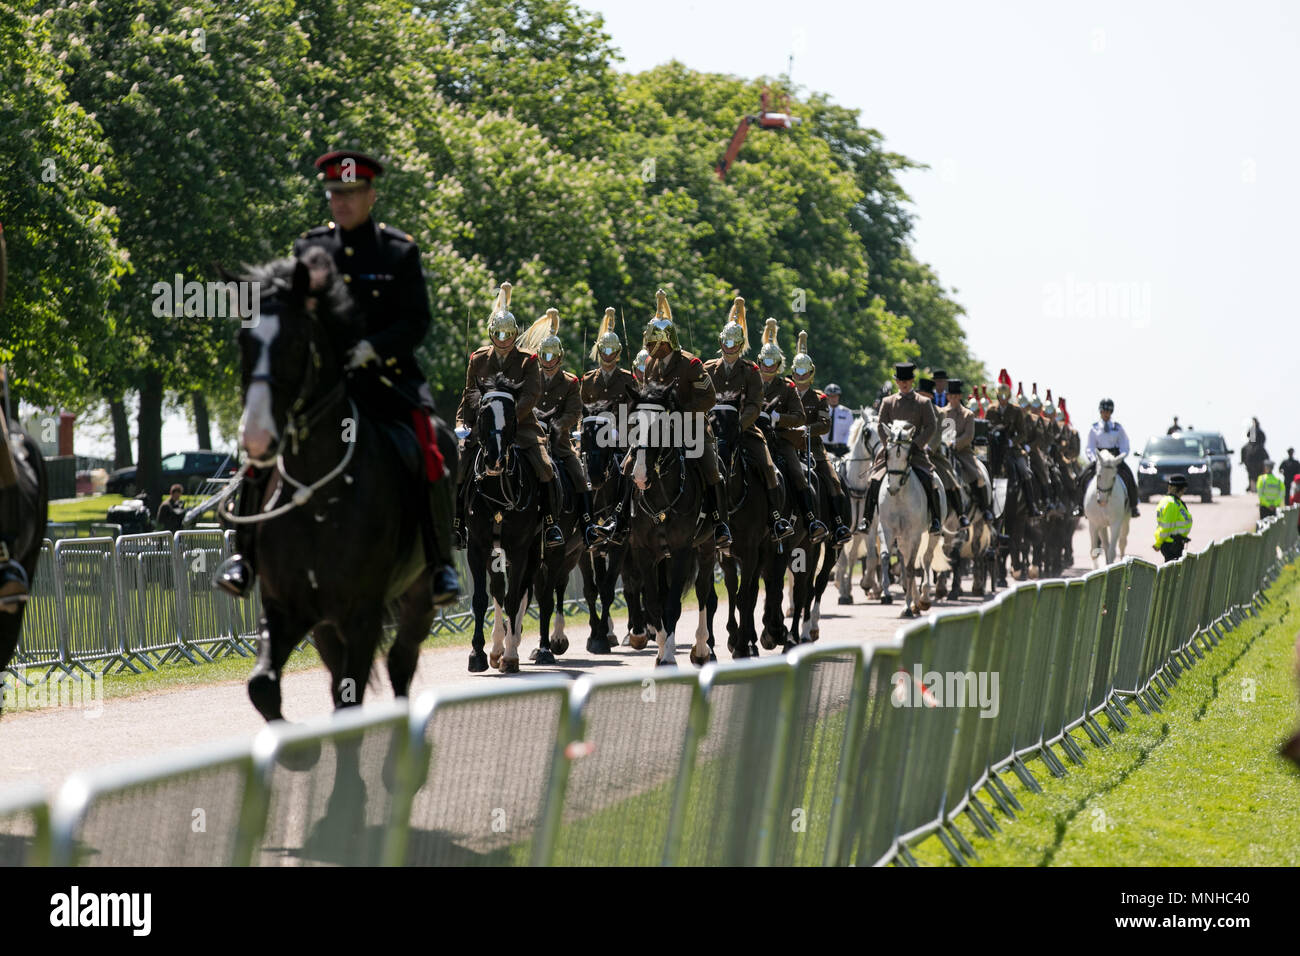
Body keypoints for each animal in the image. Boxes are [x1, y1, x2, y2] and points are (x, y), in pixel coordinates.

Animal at [462, 371, 543, 671]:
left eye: (510, 414)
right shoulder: (478, 547)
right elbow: (482, 598)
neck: (497, 489)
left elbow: (513, 598)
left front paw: (510, 655)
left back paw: (512, 643)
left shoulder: (519, 550)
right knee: (499, 590)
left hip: (533, 551)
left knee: (522, 591)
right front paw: (478, 653)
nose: (494, 460)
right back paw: (497, 646)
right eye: (483, 413)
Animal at [873, 421, 946, 616]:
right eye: (887, 454)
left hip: (930, 535)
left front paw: (908, 605)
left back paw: (923, 599)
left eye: (908, 456)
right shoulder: (886, 530)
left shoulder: (914, 534)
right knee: (907, 560)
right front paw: (886, 594)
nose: (892, 487)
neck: (899, 496)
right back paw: (915, 602)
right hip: (903, 538)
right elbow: (886, 557)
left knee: (926, 559)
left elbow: (911, 567)